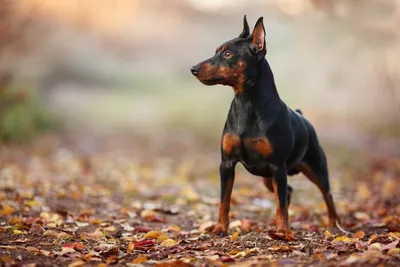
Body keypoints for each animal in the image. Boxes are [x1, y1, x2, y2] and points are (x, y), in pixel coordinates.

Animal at [191, 16, 340, 239]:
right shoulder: (227, 164)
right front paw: (220, 228)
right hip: (268, 178)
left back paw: (333, 223)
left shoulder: (277, 166)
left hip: (313, 168)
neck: (247, 103)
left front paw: (283, 231)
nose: (193, 68)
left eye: (228, 53)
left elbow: (281, 204)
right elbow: (224, 201)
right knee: (287, 192)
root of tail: (303, 117)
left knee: (326, 194)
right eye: (216, 50)